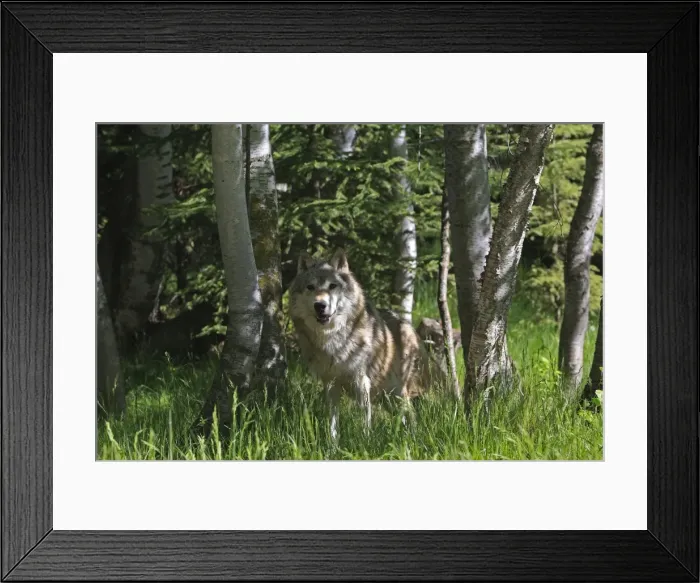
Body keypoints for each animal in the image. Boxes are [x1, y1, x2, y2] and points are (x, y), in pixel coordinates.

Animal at [288, 248, 443, 440]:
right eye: (310, 287)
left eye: (332, 286)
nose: (320, 305)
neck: (333, 341)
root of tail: (407, 324)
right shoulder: (330, 384)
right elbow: (333, 421)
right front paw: (333, 443)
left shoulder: (361, 382)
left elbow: (365, 420)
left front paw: (365, 441)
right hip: (389, 398)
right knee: (402, 418)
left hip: (400, 392)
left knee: (411, 416)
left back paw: (412, 439)